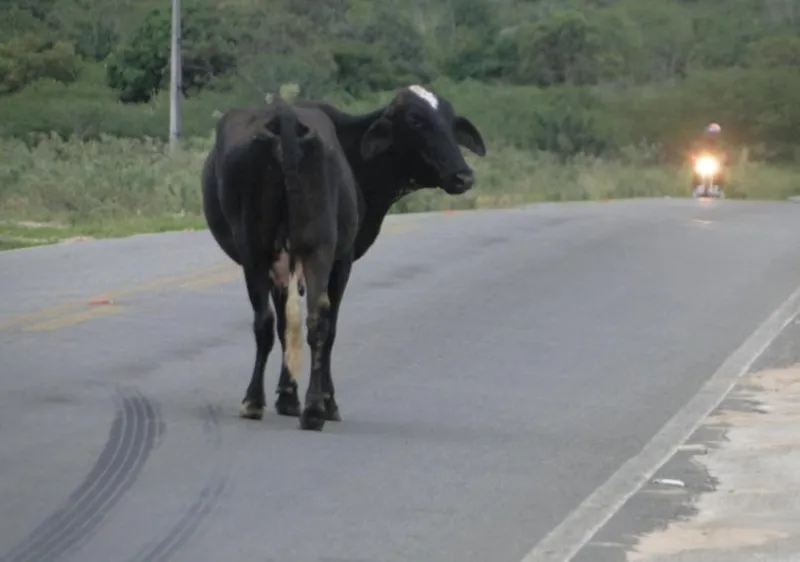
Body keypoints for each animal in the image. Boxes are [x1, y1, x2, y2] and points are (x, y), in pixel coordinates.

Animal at [202, 96, 360, 431]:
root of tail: (284, 114)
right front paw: (297, 398)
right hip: (318, 247)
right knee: (317, 319)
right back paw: (313, 409)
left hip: (255, 247)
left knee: (264, 321)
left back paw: (253, 401)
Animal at [263, 84, 488, 428]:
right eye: (416, 121)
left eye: (450, 121)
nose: (463, 176)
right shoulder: (341, 259)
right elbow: (329, 328)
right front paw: (327, 402)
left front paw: (291, 397)